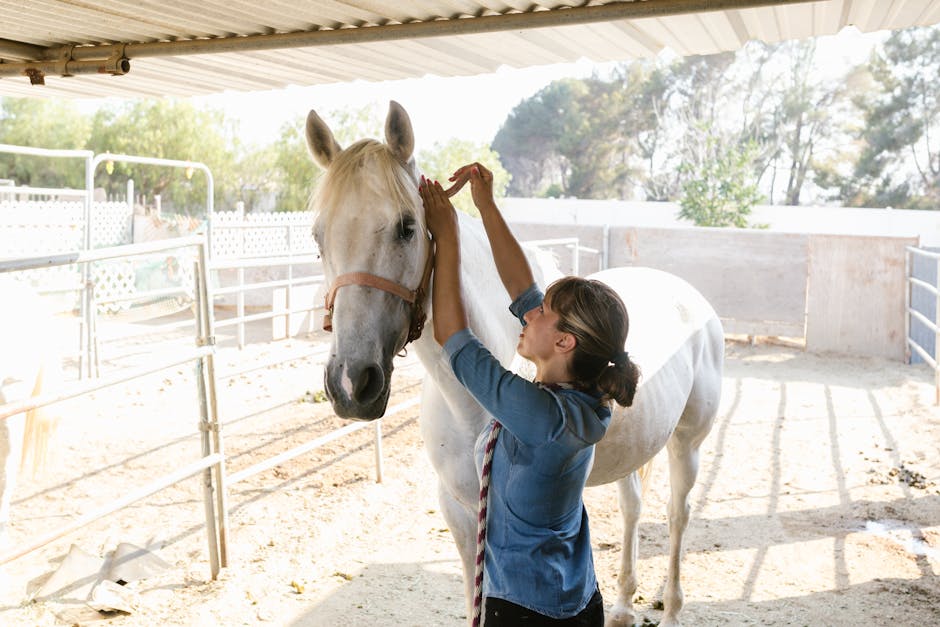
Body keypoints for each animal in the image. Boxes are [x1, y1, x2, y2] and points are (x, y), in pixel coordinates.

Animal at [304, 100, 724, 624]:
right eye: (318, 236)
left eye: (406, 227)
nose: (350, 383)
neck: (469, 403)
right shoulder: (459, 511)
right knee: (632, 506)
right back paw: (624, 605)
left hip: (687, 445)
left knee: (676, 515)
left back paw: (669, 607)